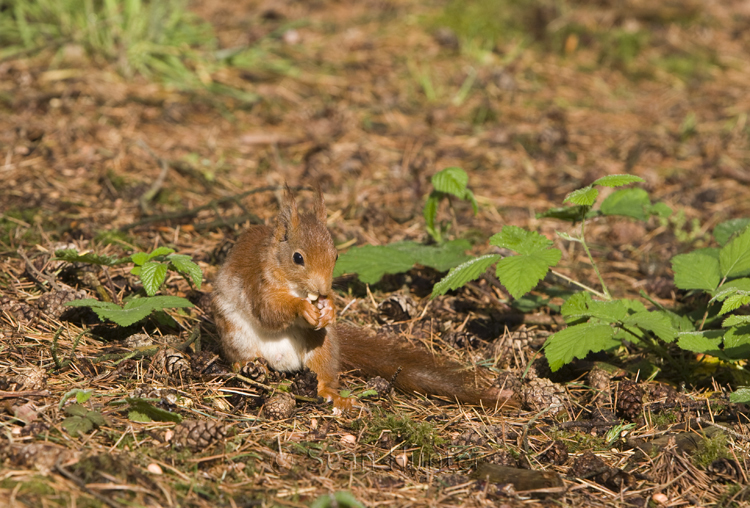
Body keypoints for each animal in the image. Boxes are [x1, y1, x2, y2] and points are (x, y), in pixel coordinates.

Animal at [212, 188, 518, 410]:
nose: (322, 290)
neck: (295, 285)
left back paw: (333, 395)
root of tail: (280, 362)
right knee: (241, 353)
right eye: (298, 258)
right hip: (235, 334)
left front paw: (330, 308)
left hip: (322, 344)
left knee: (323, 373)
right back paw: (246, 367)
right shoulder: (257, 283)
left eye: (336, 255)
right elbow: (269, 311)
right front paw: (303, 308)